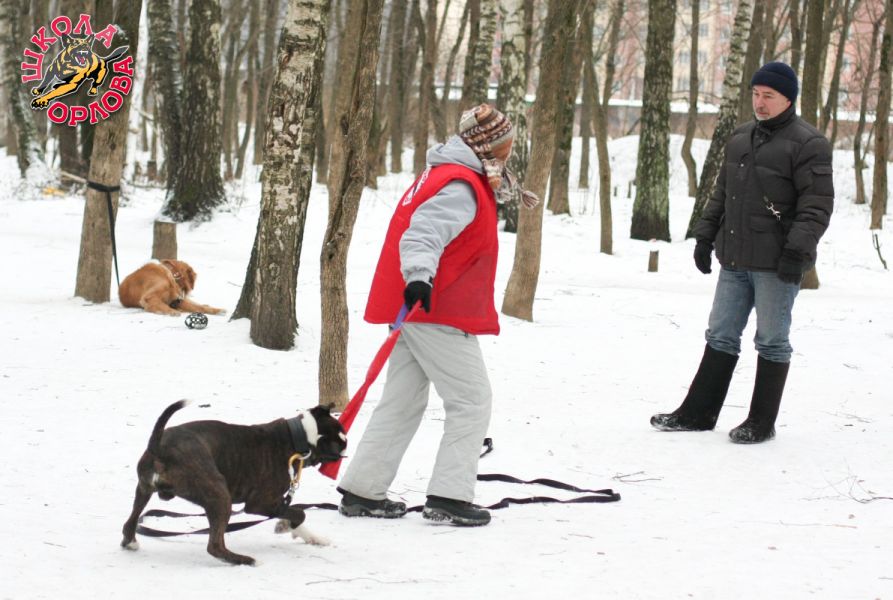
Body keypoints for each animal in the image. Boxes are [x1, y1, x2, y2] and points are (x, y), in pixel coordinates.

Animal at [121, 400, 347, 566]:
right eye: (341, 444)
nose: (345, 450)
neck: (298, 437)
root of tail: (159, 447)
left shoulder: (274, 503)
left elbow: (292, 513)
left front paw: (308, 535)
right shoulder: (260, 503)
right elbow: (299, 512)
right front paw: (285, 526)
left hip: (143, 489)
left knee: (129, 523)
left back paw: (130, 542)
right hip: (220, 496)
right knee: (214, 546)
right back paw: (245, 560)